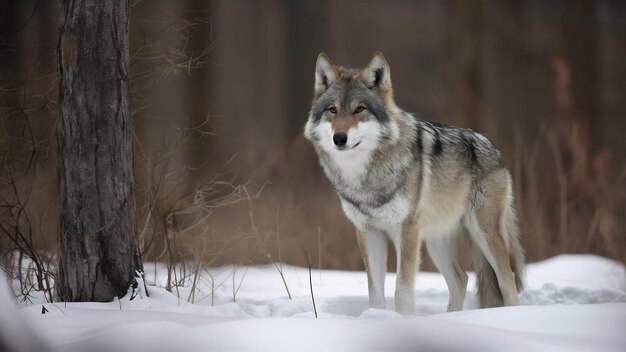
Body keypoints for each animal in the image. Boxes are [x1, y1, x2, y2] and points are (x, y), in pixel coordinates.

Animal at [302, 51, 520, 314]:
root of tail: (493, 148)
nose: (339, 138)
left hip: (483, 234)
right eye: (332, 110)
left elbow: (402, 289)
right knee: (461, 280)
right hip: (436, 241)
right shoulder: (368, 232)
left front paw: (404, 318)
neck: (367, 179)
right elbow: (375, 291)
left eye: (359, 109)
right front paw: (376, 317)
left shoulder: (406, 230)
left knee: (507, 279)